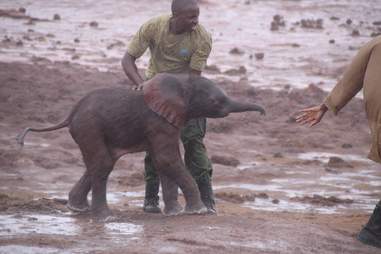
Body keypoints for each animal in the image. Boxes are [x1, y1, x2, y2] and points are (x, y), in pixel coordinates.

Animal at [16, 73, 262, 216]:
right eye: (216, 102)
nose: (263, 111)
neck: (181, 82)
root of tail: (70, 114)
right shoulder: (158, 121)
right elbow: (167, 159)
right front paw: (198, 212)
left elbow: (162, 162)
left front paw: (174, 213)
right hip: (89, 126)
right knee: (103, 163)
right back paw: (105, 216)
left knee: (101, 162)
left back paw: (77, 208)